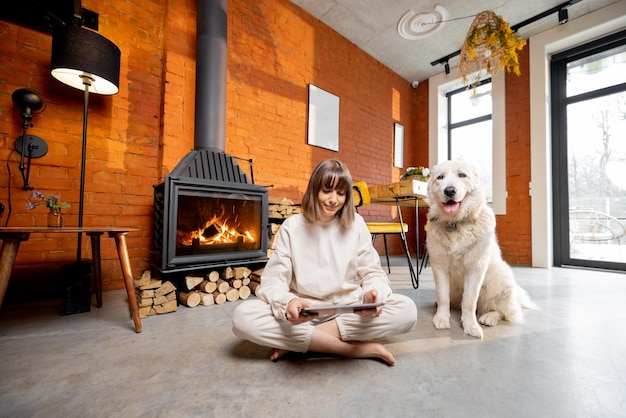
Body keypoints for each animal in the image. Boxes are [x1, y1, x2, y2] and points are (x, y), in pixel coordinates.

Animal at [424, 160, 536, 340]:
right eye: (440, 177)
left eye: (462, 175)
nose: (450, 191)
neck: (456, 223)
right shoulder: (439, 266)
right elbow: (443, 297)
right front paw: (441, 318)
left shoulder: (476, 268)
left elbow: (469, 301)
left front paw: (471, 326)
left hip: (501, 278)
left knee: (505, 312)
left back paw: (489, 317)